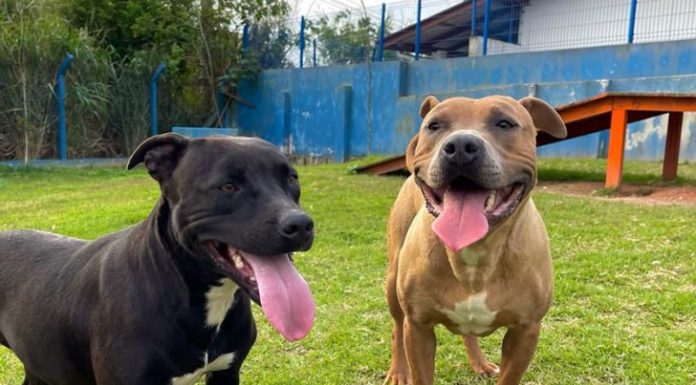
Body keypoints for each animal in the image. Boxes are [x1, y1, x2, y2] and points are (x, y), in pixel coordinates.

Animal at [384, 94, 568, 384]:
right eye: (434, 126)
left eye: (504, 123)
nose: (460, 145)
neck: (476, 252)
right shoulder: (418, 326)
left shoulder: (525, 330)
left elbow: (509, 377)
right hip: (393, 283)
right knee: (396, 326)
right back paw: (398, 372)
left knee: (468, 333)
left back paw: (480, 363)